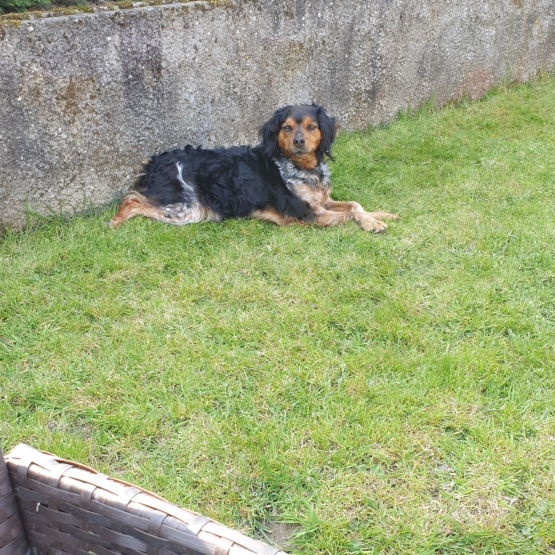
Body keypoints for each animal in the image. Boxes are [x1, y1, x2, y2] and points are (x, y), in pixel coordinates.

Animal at [107, 104, 400, 232]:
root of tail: (154, 162)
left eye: (311, 126)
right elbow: (347, 213)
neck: (303, 170)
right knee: (132, 199)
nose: (299, 141)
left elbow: (354, 205)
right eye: (287, 128)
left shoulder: (322, 202)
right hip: (188, 209)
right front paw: (373, 223)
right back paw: (116, 220)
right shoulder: (307, 214)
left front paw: (381, 215)